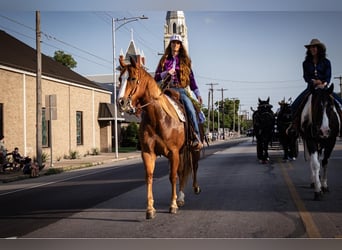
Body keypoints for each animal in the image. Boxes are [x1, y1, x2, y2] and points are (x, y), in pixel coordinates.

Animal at [117, 56, 203, 219]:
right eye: (119, 79)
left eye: (132, 78)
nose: (121, 102)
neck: (158, 118)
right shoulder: (148, 153)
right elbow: (149, 177)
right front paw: (150, 209)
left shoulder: (173, 153)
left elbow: (172, 176)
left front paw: (172, 205)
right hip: (182, 152)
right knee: (182, 171)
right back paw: (181, 197)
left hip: (193, 149)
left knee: (194, 166)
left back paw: (195, 188)